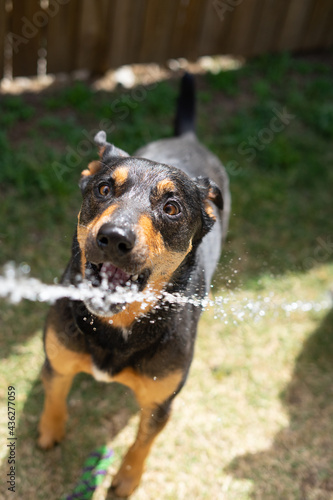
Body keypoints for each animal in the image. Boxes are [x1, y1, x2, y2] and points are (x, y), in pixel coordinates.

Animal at [37, 74, 230, 496]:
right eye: (104, 189)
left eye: (171, 208)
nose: (114, 237)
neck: (117, 325)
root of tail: (187, 138)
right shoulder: (57, 358)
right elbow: (55, 395)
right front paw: (49, 431)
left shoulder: (161, 401)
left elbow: (144, 440)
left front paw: (127, 478)